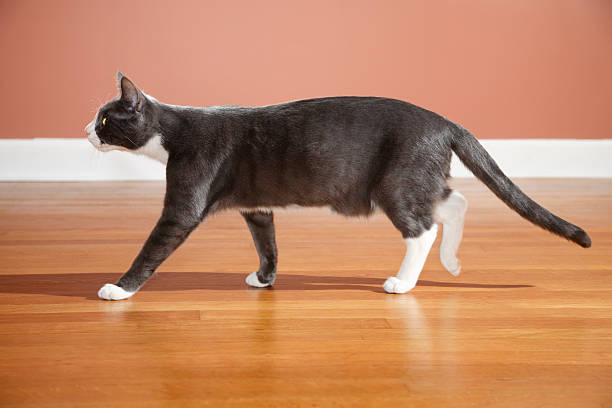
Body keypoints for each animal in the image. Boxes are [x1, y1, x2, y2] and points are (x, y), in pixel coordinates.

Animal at [85, 73, 588, 302]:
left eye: (106, 119)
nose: (85, 130)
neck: (173, 132)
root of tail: (446, 123)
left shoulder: (183, 205)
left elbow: (152, 247)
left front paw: (120, 289)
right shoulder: (257, 207)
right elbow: (268, 243)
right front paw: (265, 279)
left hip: (392, 184)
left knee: (423, 228)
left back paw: (404, 282)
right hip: (416, 178)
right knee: (454, 201)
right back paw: (452, 262)